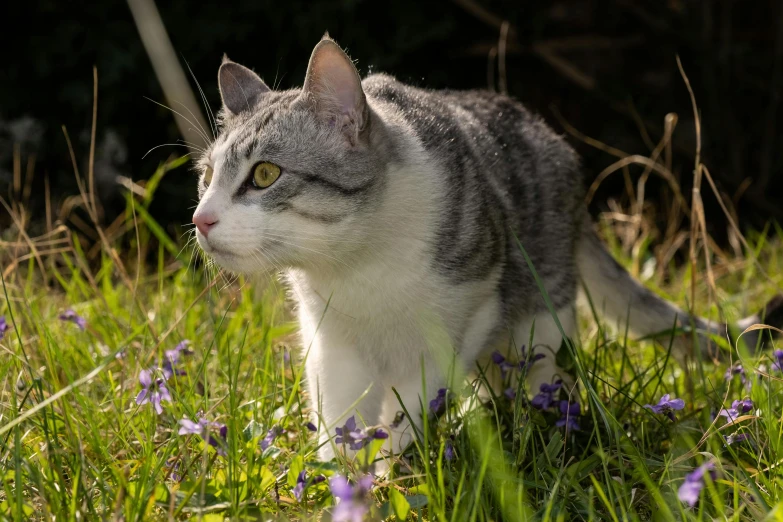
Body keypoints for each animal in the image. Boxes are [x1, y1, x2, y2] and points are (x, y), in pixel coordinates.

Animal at [191, 35, 783, 464]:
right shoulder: (331, 343)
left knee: (535, 378)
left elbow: (408, 405)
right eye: (206, 176)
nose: (200, 218)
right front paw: (343, 481)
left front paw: (389, 468)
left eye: (265, 174)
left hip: (539, 325)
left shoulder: (464, 316)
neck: (360, 268)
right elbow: (341, 419)